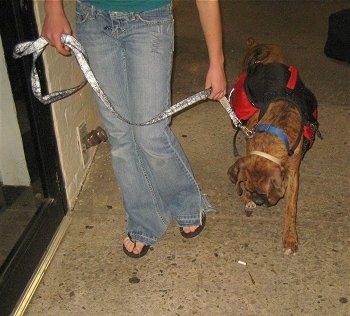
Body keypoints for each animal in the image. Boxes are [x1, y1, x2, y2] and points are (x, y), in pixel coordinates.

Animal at [227, 38, 320, 254]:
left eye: (264, 192)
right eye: (250, 189)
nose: (259, 201)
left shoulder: (293, 174)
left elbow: (291, 208)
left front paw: (290, 236)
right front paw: (246, 199)